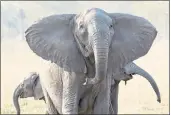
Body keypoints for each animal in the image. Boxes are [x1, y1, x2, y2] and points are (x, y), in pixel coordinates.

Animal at [25, 7, 160, 113]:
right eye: (81, 27)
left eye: (111, 26)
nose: (158, 100)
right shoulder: (70, 72)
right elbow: (70, 107)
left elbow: (102, 107)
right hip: (44, 85)